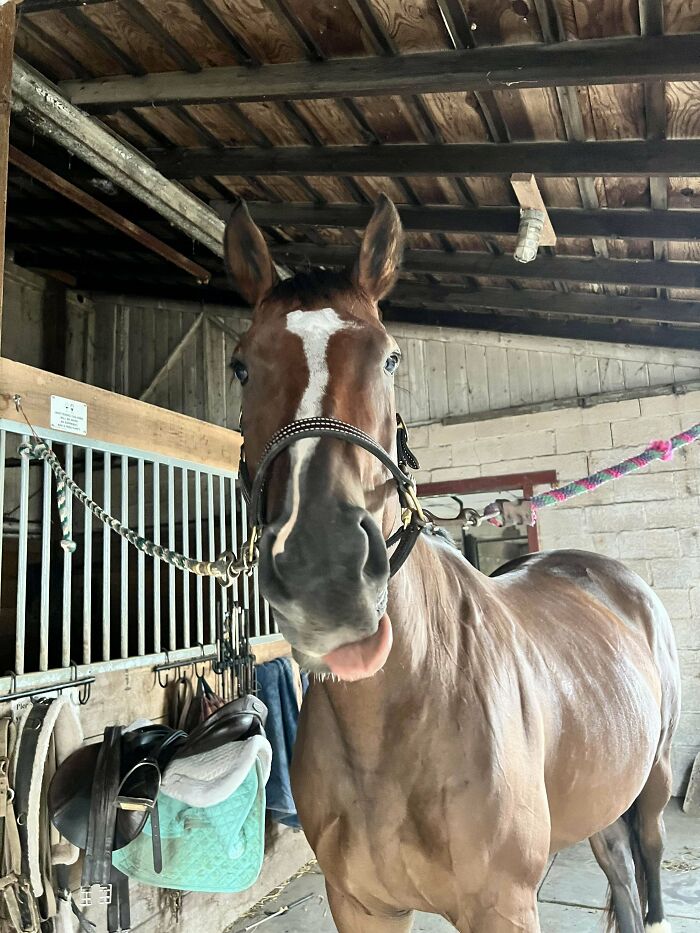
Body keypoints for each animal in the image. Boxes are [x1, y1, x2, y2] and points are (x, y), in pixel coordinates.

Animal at [224, 195, 680, 933]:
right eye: (241, 364)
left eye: (390, 359)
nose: (326, 570)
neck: (398, 716)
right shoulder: (360, 906)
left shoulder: (503, 906)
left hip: (655, 787)